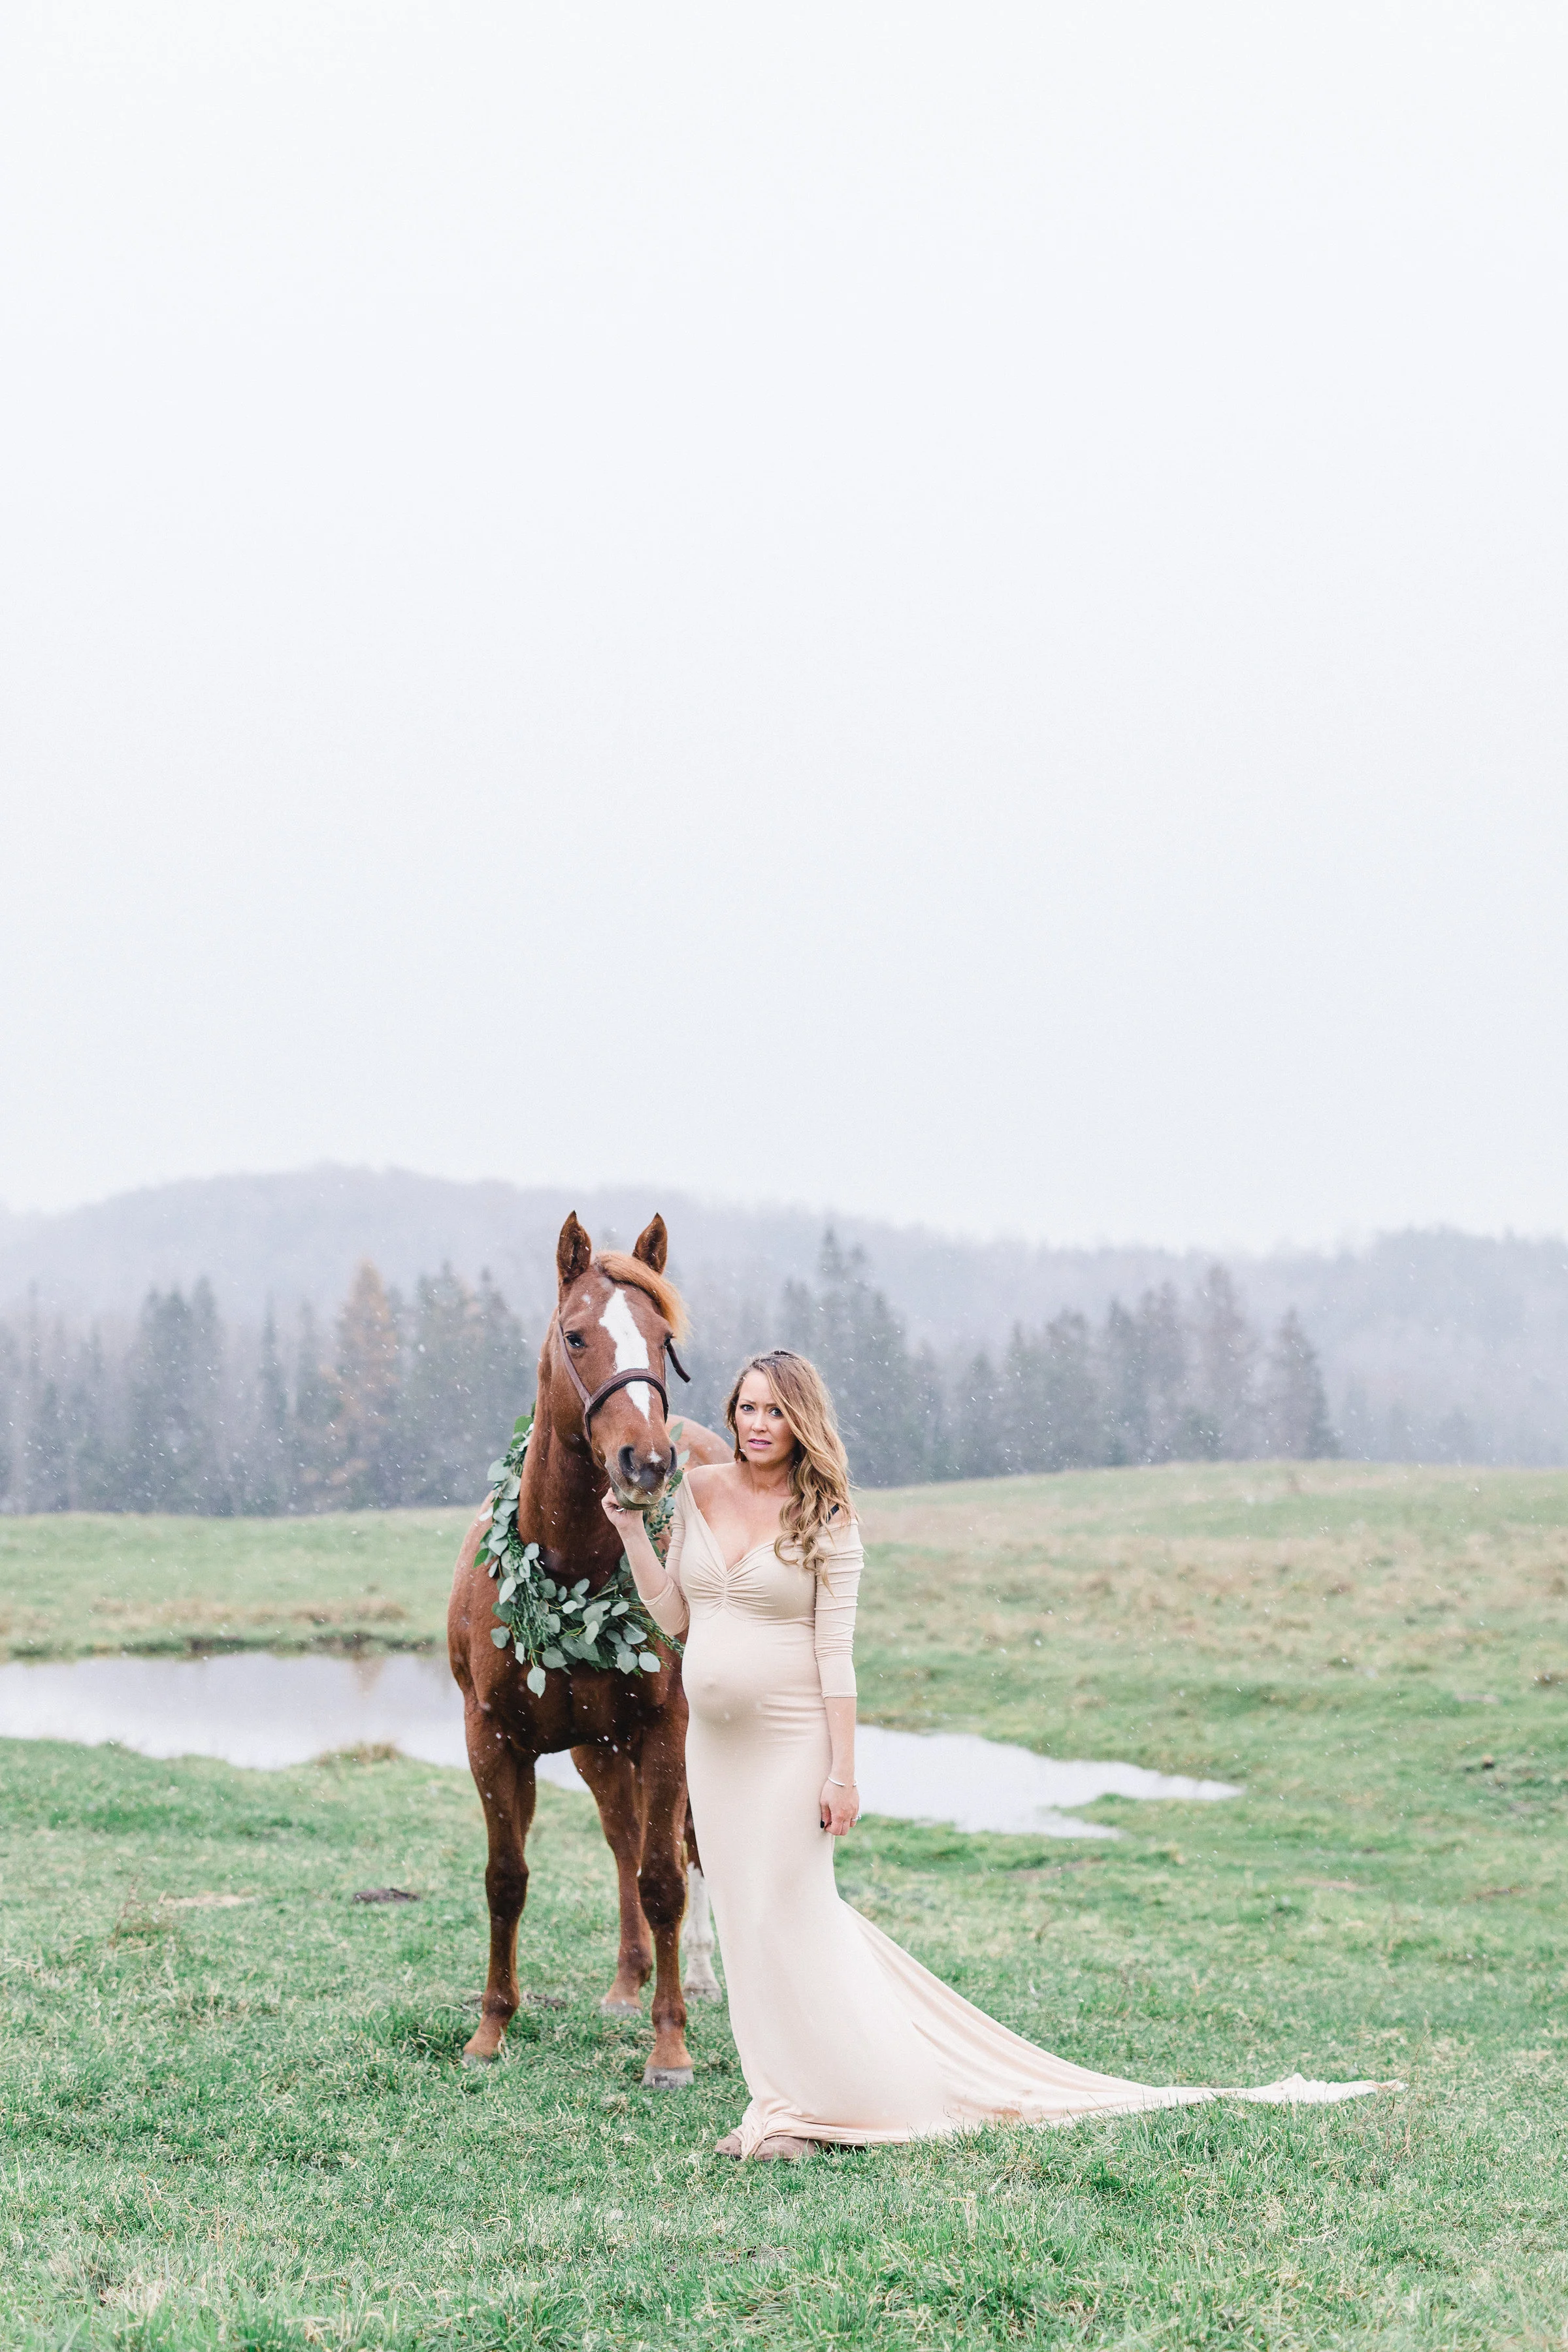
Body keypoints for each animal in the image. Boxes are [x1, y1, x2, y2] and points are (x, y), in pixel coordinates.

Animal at [447, 1210, 733, 2080]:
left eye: (663, 1337)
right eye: (576, 1336)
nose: (647, 1462)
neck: (572, 1567)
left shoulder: (667, 1732)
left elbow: (666, 1879)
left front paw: (670, 2045)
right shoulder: (491, 1738)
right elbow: (506, 1879)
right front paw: (490, 2030)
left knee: (686, 1848)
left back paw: (701, 1977)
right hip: (597, 1751)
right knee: (623, 1840)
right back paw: (625, 1982)